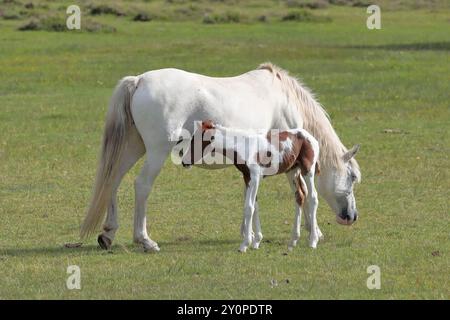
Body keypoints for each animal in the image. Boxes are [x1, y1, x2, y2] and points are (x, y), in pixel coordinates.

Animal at [181, 120, 322, 252]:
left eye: (195, 140)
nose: (184, 162)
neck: (242, 146)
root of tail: (310, 136)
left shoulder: (254, 177)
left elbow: (249, 207)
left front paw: (245, 244)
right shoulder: (247, 177)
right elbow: (255, 206)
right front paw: (256, 241)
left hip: (307, 170)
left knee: (313, 197)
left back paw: (313, 241)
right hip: (292, 171)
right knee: (300, 196)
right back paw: (293, 240)